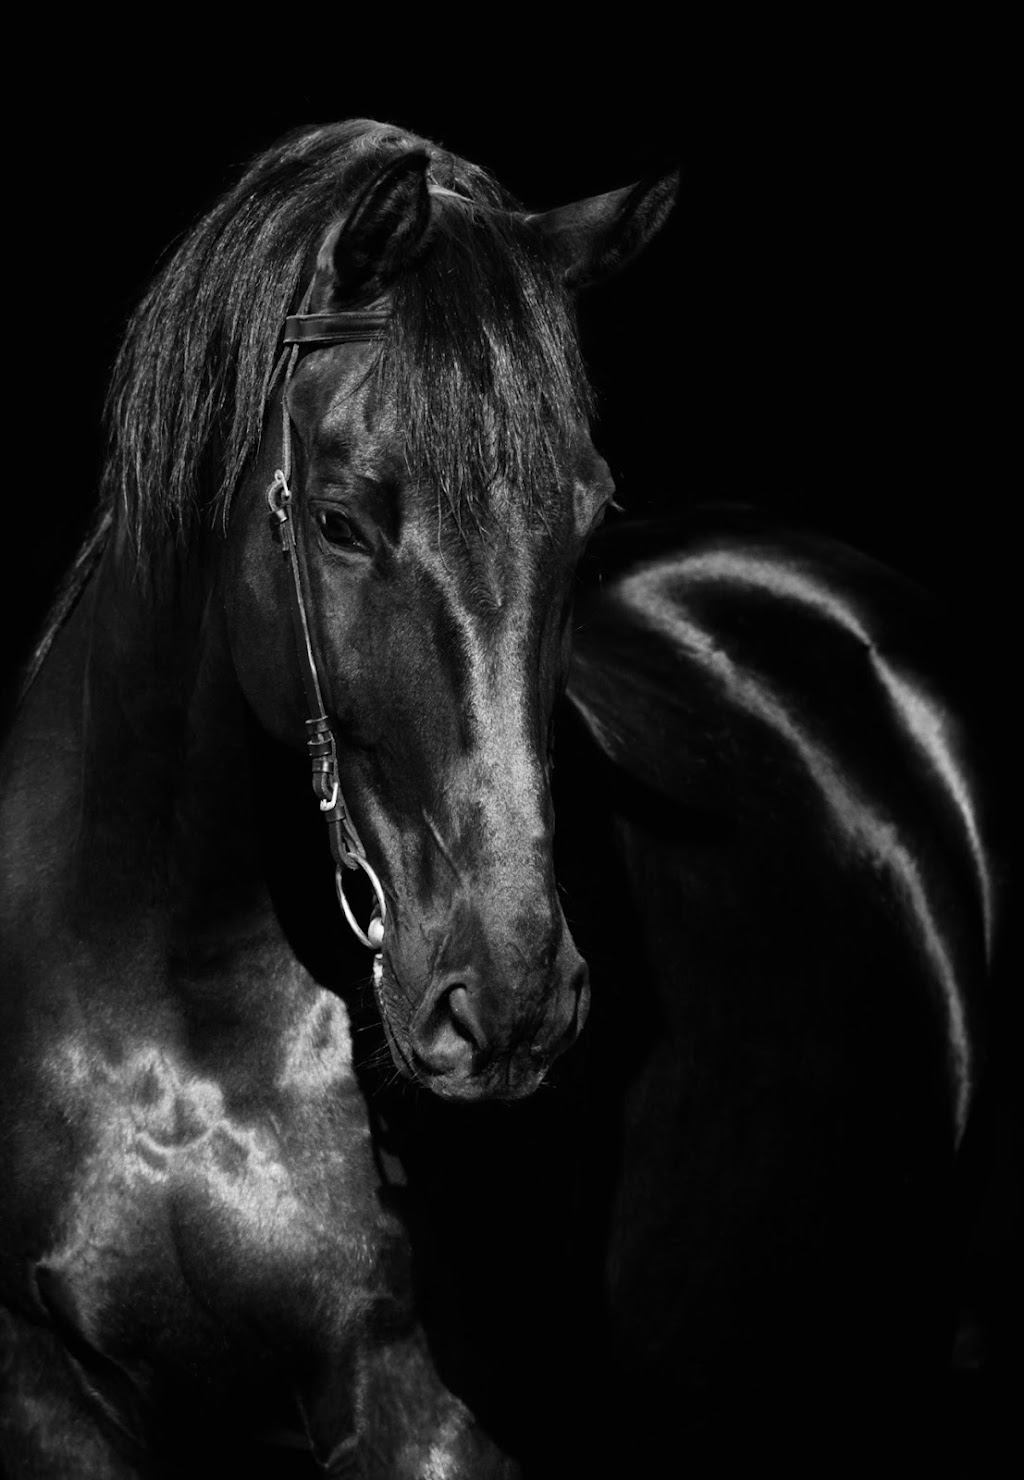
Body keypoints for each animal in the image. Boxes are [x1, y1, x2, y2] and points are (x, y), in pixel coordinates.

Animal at [0, 117, 998, 1476]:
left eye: (586, 517)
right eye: (338, 521)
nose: (512, 1001)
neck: (171, 1007)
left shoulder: (422, 1417)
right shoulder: (50, 1395)